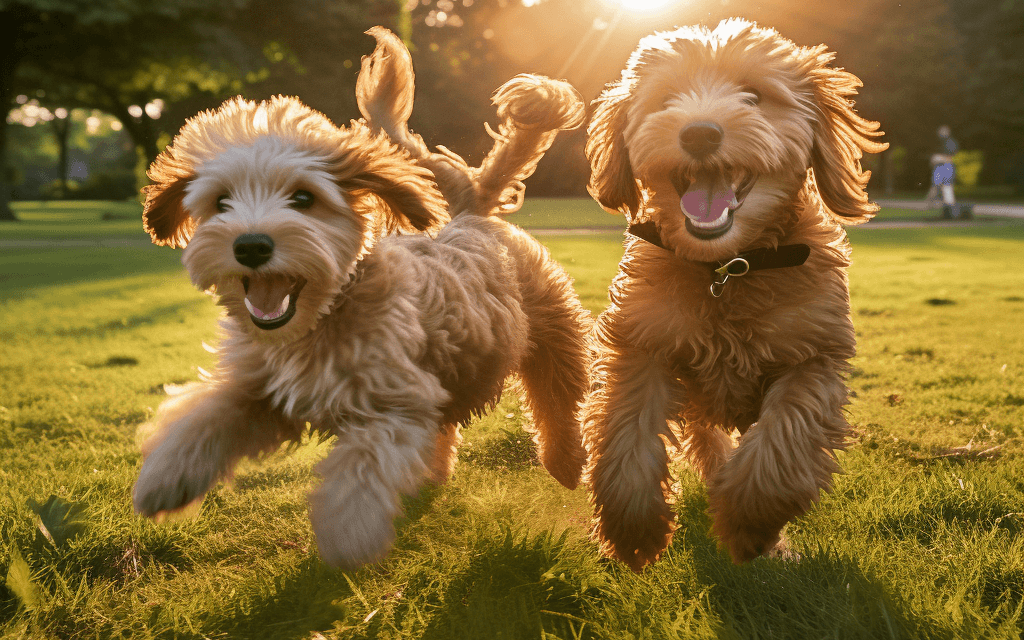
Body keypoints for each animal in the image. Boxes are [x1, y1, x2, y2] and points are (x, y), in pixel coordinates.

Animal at [133, 28, 593, 565]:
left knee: (558, 399)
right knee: (449, 426)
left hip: (553, 330)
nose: (250, 246)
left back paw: (566, 461)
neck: (317, 323)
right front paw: (164, 479)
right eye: (221, 202)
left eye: (303, 198)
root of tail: (469, 212)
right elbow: (204, 417)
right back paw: (433, 474)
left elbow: (361, 470)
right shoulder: (256, 388)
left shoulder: (395, 405)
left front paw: (348, 536)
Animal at [581, 18, 884, 569]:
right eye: (667, 98)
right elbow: (626, 433)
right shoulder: (643, 344)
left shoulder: (814, 355)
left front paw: (748, 523)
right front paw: (633, 529)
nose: (699, 132)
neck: (728, 269)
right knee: (705, 438)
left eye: (753, 96)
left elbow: (784, 438)